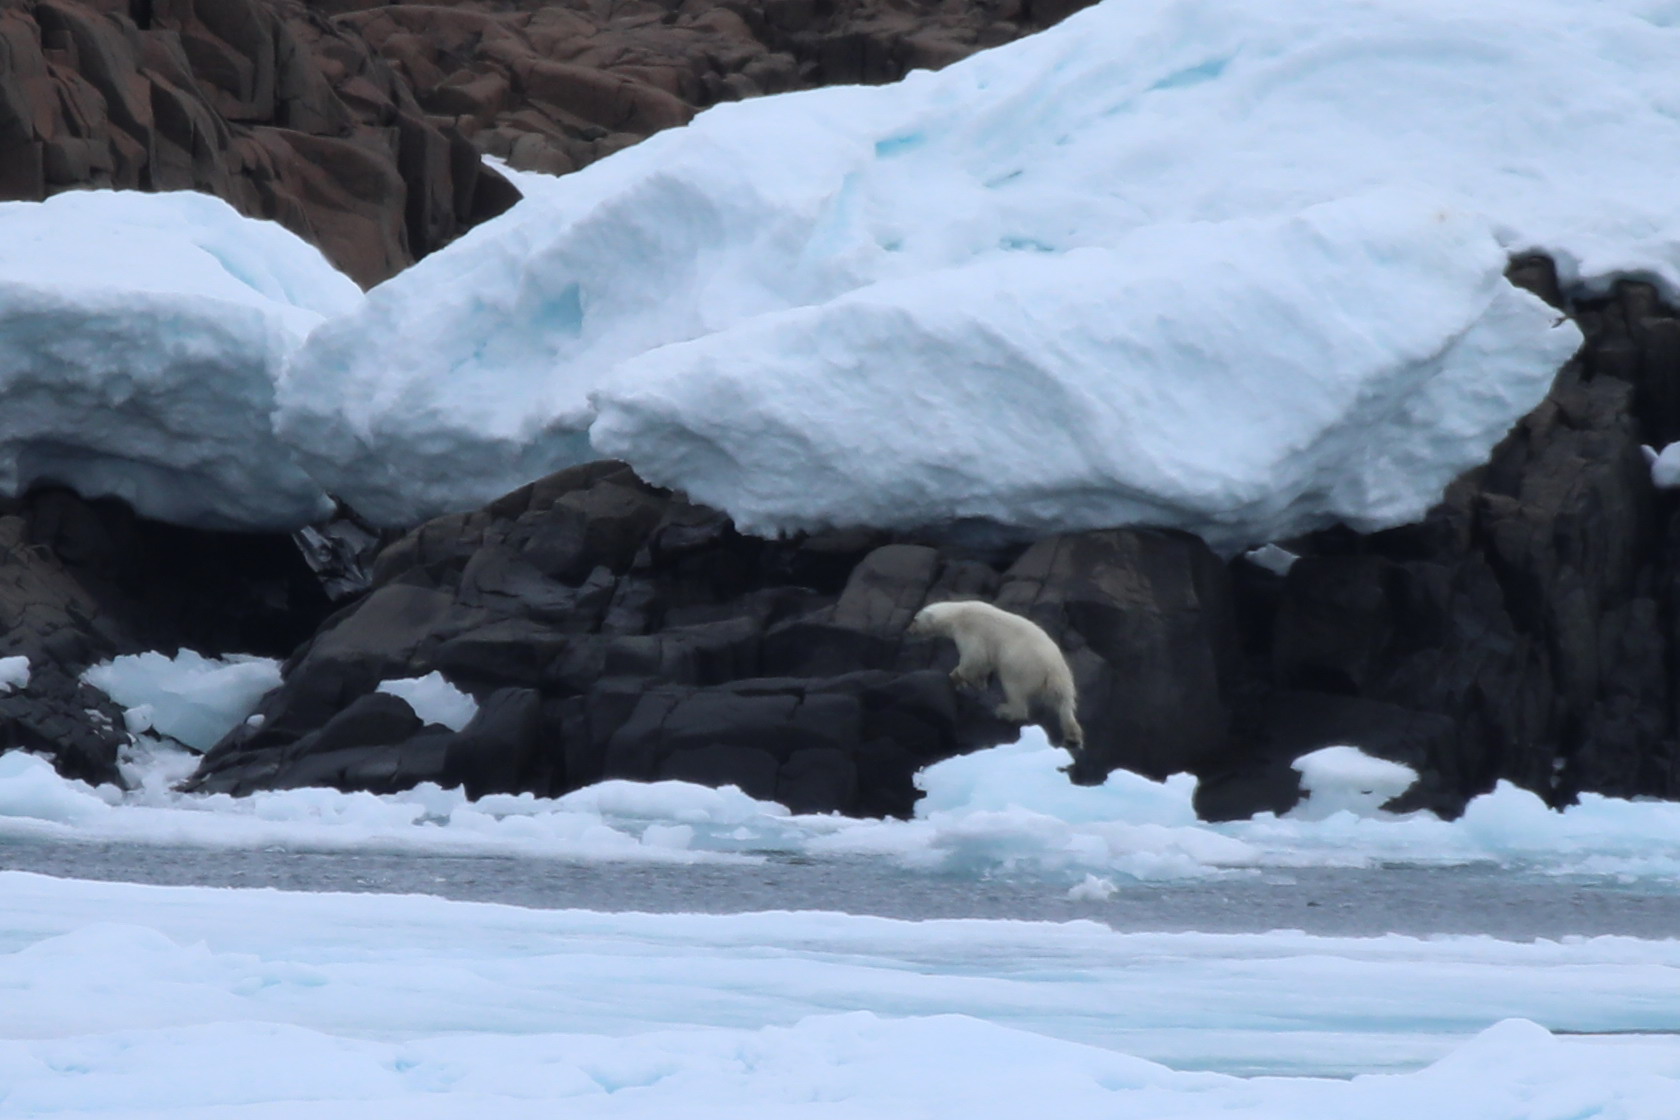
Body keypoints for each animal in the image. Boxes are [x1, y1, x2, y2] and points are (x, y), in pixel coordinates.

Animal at [913, 601, 1081, 748]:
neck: (958, 612)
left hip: (1022, 667)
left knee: (1014, 690)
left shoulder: (971, 632)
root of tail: (1054, 670)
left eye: (915, 618)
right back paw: (1073, 735)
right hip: (1063, 679)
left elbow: (974, 659)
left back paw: (1004, 711)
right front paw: (979, 683)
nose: (910, 629)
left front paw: (956, 677)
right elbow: (984, 664)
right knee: (1064, 704)